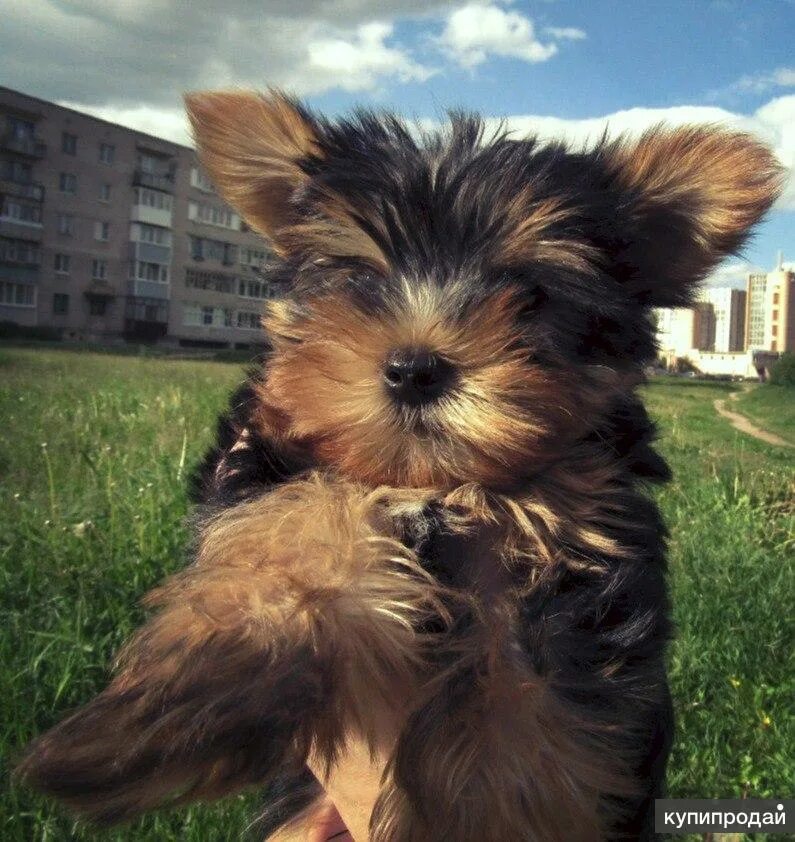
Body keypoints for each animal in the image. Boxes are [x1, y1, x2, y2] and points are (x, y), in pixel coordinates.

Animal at [18, 92, 784, 840]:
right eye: (360, 278)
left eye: (530, 292)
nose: (415, 367)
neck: (435, 486)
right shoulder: (265, 465)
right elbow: (294, 532)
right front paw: (180, 699)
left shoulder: (582, 544)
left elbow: (522, 694)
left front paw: (491, 808)